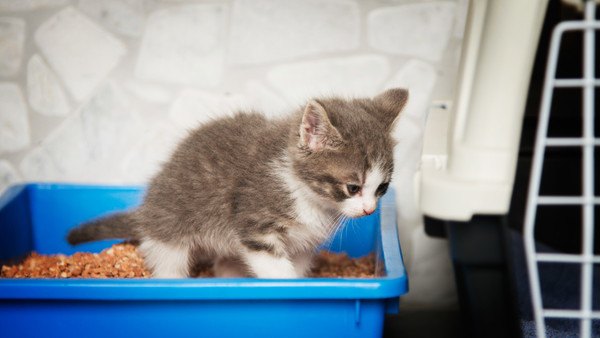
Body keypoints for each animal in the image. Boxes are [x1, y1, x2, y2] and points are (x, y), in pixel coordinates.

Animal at [68, 88, 410, 278]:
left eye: (382, 188)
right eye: (352, 187)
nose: (369, 210)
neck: (307, 196)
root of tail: (148, 206)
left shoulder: (303, 244)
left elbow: (298, 266)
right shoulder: (255, 224)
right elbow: (277, 269)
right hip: (170, 224)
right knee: (168, 259)